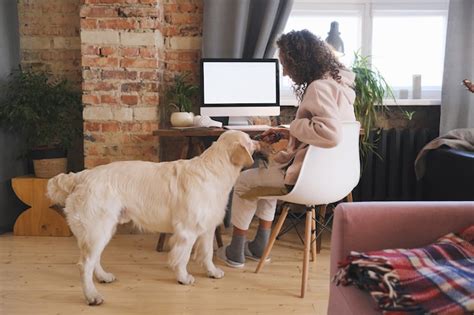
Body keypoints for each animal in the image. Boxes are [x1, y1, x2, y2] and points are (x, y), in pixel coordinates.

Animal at [46, 131, 258, 306]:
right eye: (249, 140)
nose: (258, 141)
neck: (214, 170)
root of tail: (81, 176)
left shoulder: (207, 227)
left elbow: (206, 254)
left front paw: (212, 272)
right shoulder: (187, 231)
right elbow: (182, 258)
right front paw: (183, 278)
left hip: (103, 229)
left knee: (94, 260)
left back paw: (104, 277)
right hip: (98, 228)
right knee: (85, 264)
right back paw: (92, 295)